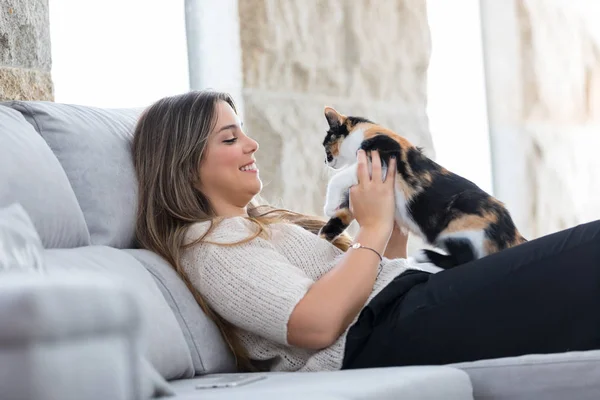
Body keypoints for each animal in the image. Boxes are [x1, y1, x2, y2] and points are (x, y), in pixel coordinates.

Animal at [316, 106, 528, 268]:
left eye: (325, 145)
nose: (325, 161)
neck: (368, 132)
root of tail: (512, 232)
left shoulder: (381, 156)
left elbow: (338, 178)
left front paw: (328, 206)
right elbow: (339, 217)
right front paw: (322, 235)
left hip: (459, 227)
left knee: (466, 258)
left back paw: (423, 255)